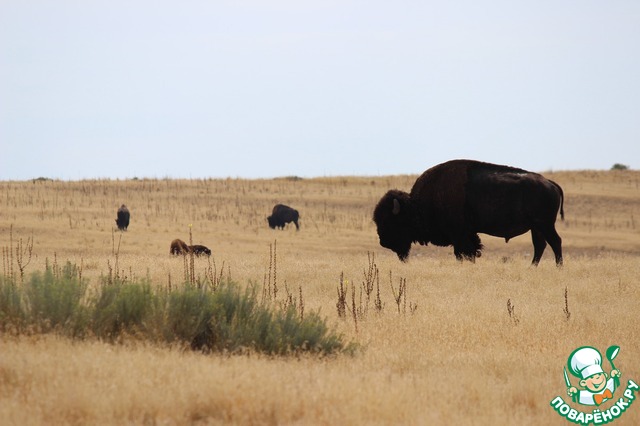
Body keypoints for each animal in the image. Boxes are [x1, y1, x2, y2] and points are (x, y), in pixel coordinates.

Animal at [373, 159, 564, 265]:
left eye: (389, 221)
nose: (383, 242)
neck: (417, 206)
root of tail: (550, 183)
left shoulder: (459, 234)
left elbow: (464, 252)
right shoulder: (467, 234)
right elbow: (469, 251)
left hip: (545, 224)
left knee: (555, 242)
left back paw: (558, 267)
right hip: (536, 227)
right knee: (540, 246)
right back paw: (532, 267)